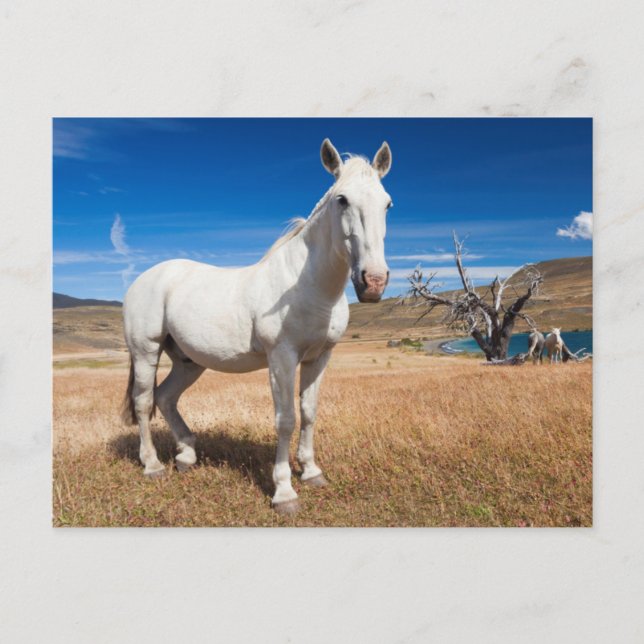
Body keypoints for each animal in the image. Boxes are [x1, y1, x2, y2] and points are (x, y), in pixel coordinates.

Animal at [121, 138, 393, 514]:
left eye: (387, 203)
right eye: (342, 199)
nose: (374, 282)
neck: (308, 286)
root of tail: (144, 279)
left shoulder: (319, 357)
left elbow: (309, 412)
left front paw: (311, 472)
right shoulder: (282, 358)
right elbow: (286, 419)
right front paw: (284, 493)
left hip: (189, 362)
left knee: (166, 397)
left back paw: (187, 456)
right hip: (146, 351)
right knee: (145, 402)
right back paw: (152, 465)